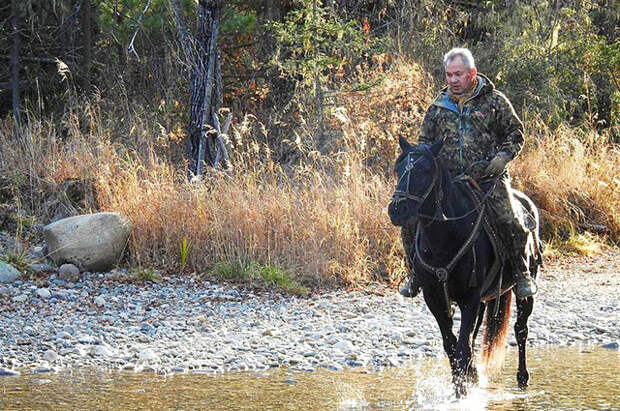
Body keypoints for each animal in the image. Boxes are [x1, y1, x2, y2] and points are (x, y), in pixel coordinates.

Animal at [390, 137, 540, 398]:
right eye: (399, 169)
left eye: (425, 170)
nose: (397, 210)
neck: (445, 236)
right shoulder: (435, 299)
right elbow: (452, 346)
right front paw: (463, 383)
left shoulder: (470, 298)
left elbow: (462, 350)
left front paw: (461, 394)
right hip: (483, 301)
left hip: (522, 290)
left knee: (521, 330)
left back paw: (522, 377)